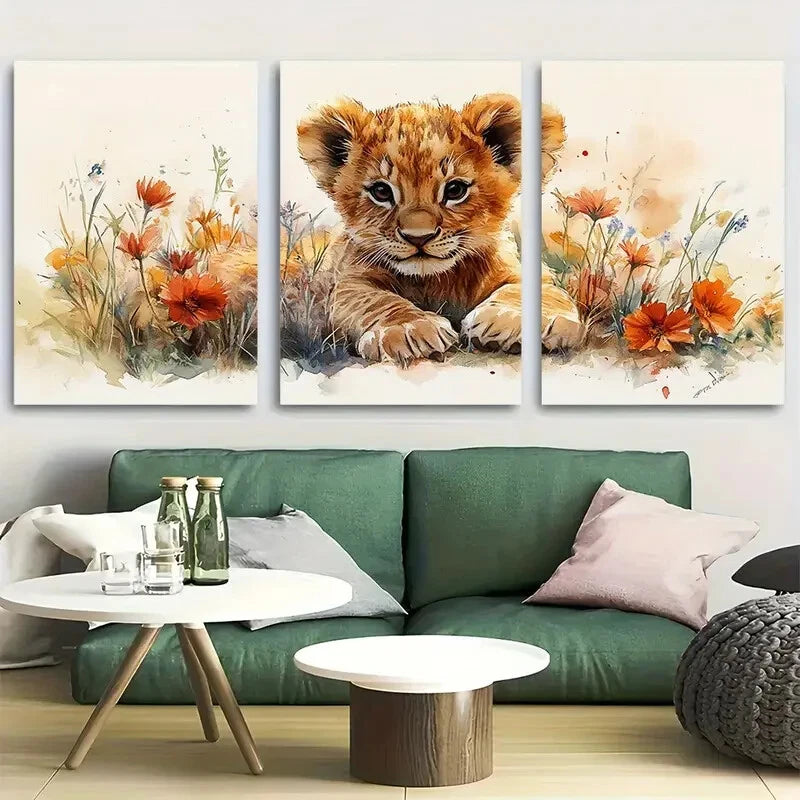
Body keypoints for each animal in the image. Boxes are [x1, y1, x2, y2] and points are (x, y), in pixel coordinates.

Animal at [297, 94, 522, 364]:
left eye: (455, 190)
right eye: (381, 192)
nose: (419, 238)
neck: (435, 280)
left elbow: (527, 289)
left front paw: (505, 320)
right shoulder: (349, 282)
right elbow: (377, 300)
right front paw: (410, 329)